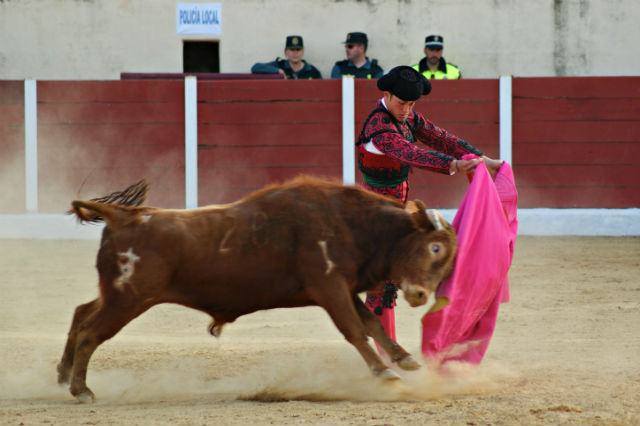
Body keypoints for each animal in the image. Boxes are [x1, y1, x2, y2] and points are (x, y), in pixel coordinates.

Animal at [55, 176, 456, 402]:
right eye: (435, 248)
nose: (419, 295)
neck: (352, 222)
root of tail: (125, 216)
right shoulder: (329, 287)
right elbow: (355, 329)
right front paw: (385, 373)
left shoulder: (343, 288)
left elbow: (370, 324)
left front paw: (404, 358)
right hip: (129, 298)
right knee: (91, 332)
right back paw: (82, 390)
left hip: (118, 294)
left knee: (80, 314)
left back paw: (62, 376)